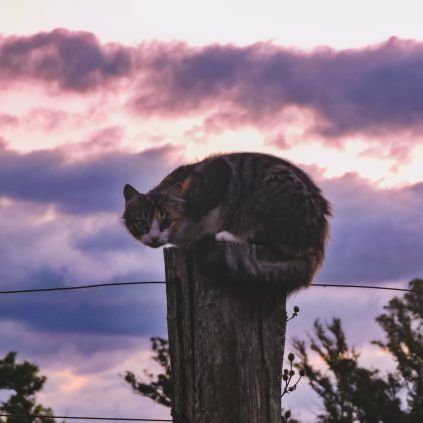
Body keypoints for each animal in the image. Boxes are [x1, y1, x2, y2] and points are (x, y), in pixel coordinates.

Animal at [122, 152, 332, 294]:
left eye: (166, 221)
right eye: (142, 223)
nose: (154, 237)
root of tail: (318, 243)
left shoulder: (219, 177)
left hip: (274, 196)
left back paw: (227, 235)